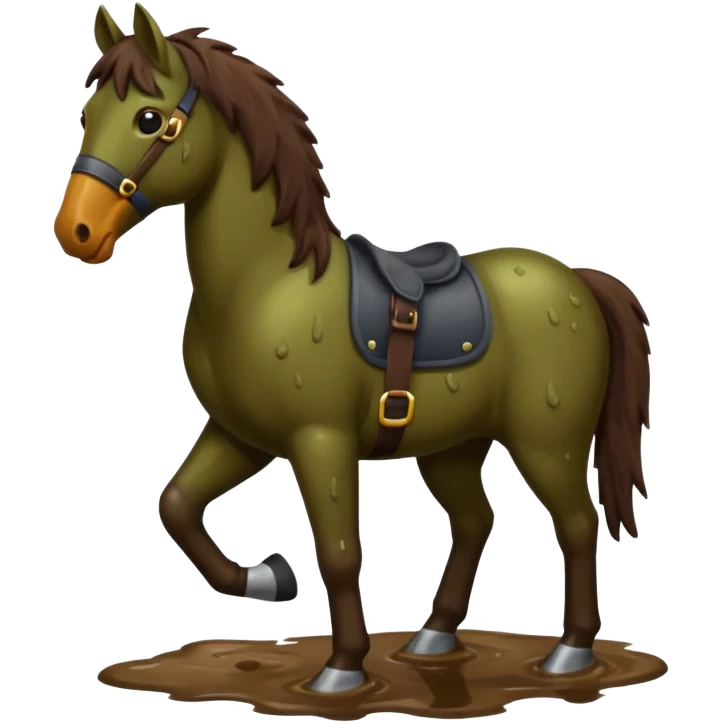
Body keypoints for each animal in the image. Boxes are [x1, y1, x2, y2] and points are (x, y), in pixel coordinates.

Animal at [54, 3, 652, 695]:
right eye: (88, 115)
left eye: (148, 119)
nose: (76, 231)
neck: (266, 285)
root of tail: (577, 280)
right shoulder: (241, 433)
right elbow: (176, 505)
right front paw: (271, 577)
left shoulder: (320, 439)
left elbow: (340, 553)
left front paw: (342, 668)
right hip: (453, 447)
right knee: (476, 522)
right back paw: (433, 638)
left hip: (546, 443)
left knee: (577, 526)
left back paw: (571, 653)